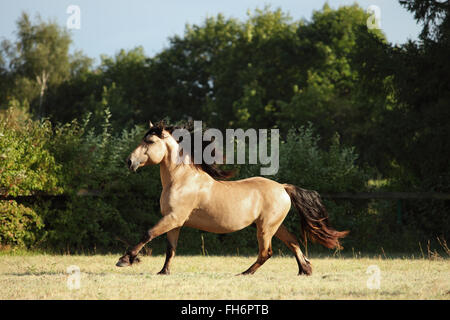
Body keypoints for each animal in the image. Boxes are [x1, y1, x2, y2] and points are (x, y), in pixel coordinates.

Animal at [116, 120, 348, 276]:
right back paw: (305, 269)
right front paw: (163, 272)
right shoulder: (175, 222)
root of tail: (283, 187)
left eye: (149, 140)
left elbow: (148, 234)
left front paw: (125, 259)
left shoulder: (173, 218)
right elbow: (170, 249)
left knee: (266, 252)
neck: (180, 180)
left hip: (265, 228)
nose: (129, 161)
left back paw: (245, 273)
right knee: (293, 242)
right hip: (274, 225)